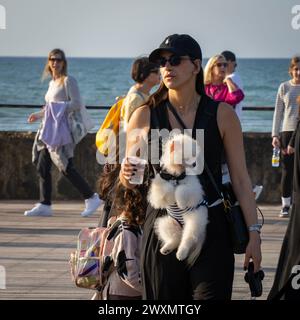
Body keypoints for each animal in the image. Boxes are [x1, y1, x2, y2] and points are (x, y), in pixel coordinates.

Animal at [148, 134, 209, 266]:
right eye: (186, 157)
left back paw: (181, 253)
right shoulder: (158, 190)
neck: (176, 175)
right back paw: (167, 248)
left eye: (195, 156)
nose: (195, 164)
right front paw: (171, 194)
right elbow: (166, 191)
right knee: (176, 238)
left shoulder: (193, 188)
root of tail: (182, 226)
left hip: (194, 221)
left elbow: (182, 189)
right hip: (167, 223)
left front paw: (180, 202)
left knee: (188, 239)